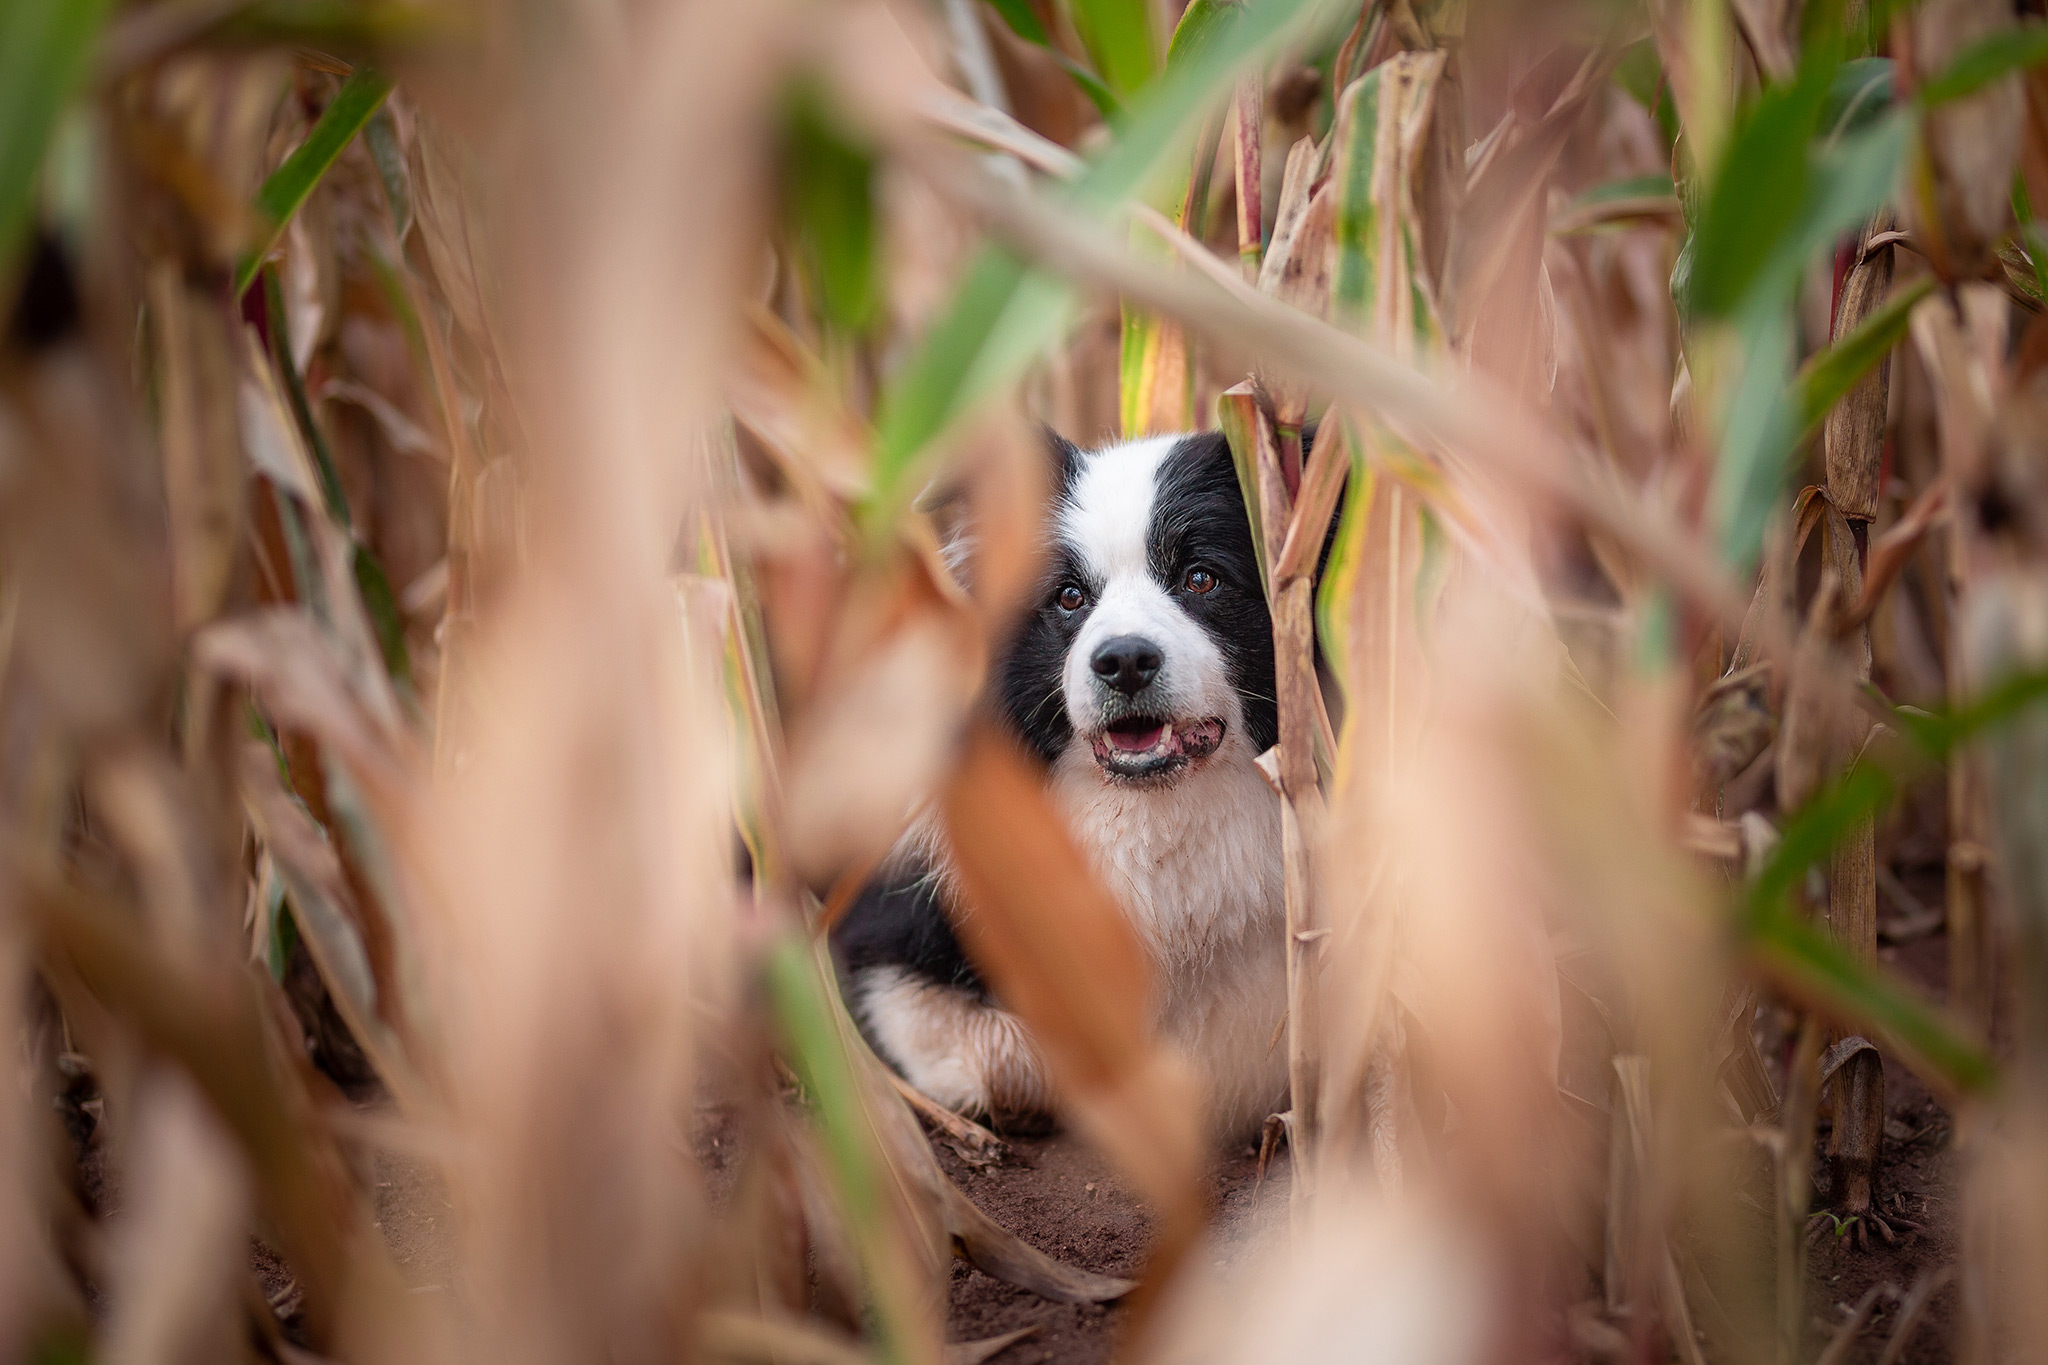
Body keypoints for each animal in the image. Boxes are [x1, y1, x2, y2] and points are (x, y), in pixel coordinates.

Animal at [827, 429, 1277, 1146]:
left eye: (1201, 578)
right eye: (1069, 596)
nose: (1124, 661)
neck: (1155, 814)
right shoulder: (891, 922)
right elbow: (1000, 1051)